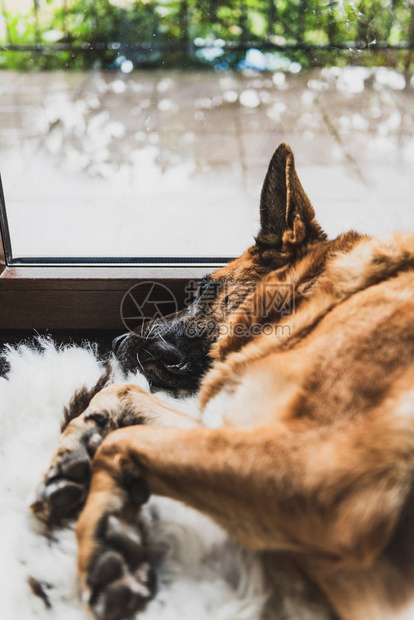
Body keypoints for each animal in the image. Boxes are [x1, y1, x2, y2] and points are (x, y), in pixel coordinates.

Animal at [33, 144, 414, 620]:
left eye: (202, 290)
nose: (117, 342)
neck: (319, 302)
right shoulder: (238, 431)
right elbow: (123, 392)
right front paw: (77, 444)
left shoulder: (314, 471)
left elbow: (121, 440)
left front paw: (107, 533)